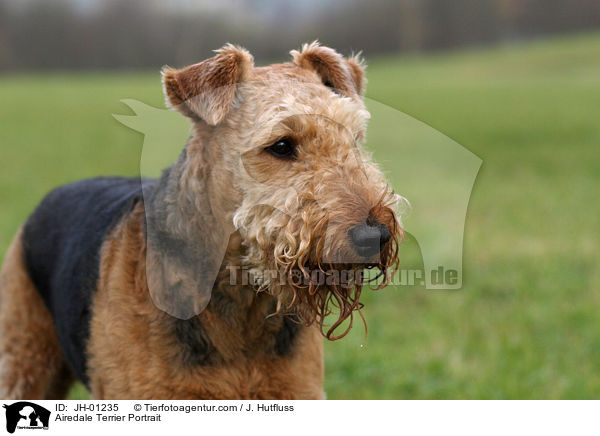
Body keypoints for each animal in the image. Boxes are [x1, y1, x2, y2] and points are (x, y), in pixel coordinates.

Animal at [2, 43, 404, 398]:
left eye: (355, 139)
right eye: (281, 145)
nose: (375, 235)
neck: (242, 303)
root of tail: (55, 191)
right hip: (22, 359)